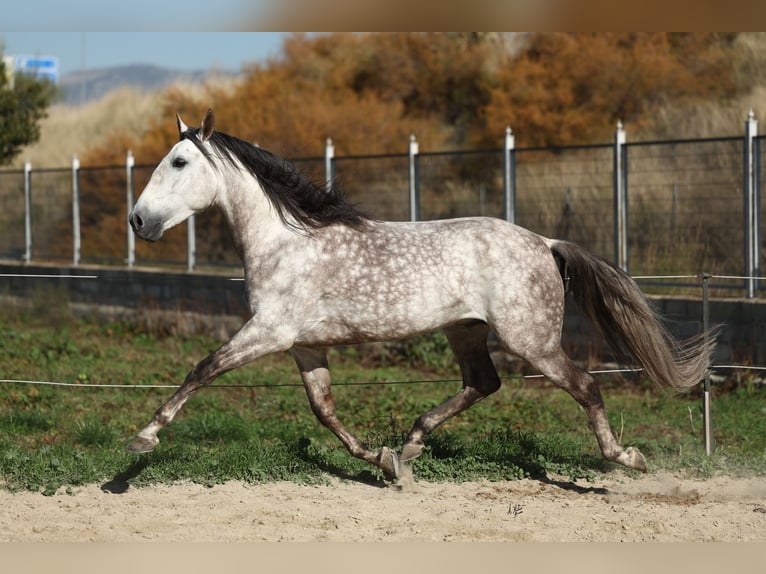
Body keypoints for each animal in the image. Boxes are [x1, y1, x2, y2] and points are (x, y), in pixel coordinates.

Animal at [127, 109, 720, 482]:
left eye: (179, 162)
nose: (138, 221)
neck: (286, 241)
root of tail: (545, 242)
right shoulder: (303, 345)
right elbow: (324, 410)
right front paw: (382, 459)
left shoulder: (269, 332)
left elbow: (203, 368)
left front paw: (144, 439)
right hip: (466, 331)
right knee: (483, 383)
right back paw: (413, 440)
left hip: (530, 340)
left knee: (585, 385)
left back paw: (625, 458)